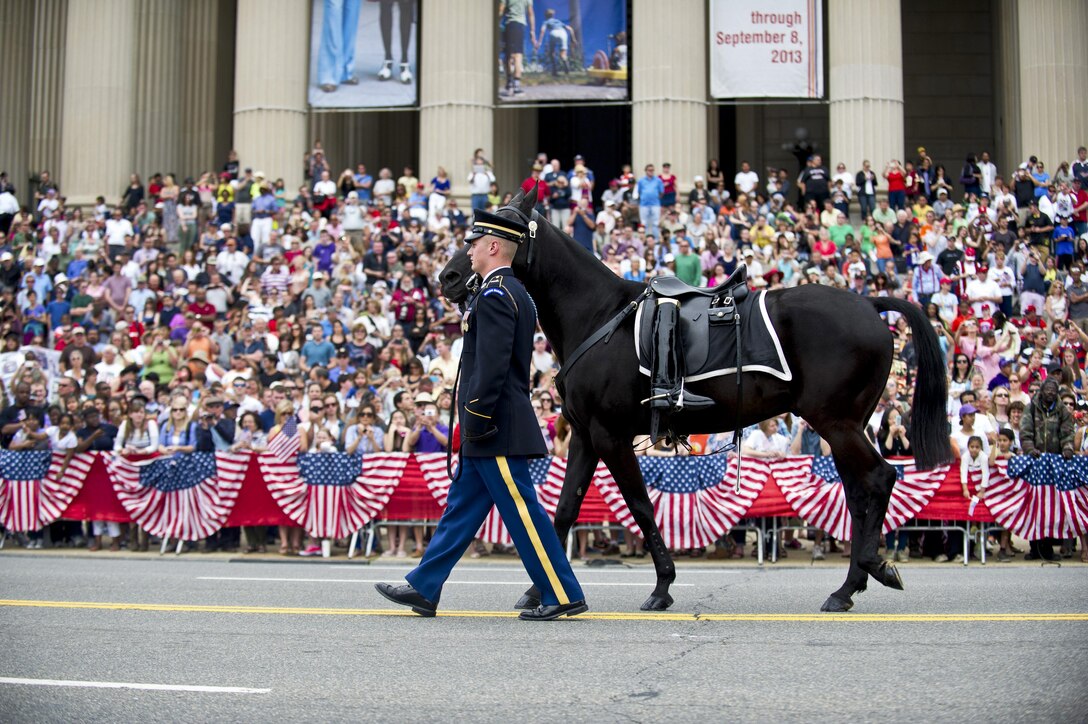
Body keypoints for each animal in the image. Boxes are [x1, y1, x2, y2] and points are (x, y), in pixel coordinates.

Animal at [437, 186, 948, 609]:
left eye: (491, 233)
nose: (449, 275)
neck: (598, 316)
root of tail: (870, 303)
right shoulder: (584, 435)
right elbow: (563, 509)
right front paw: (537, 589)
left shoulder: (610, 435)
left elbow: (640, 506)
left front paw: (662, 585)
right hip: (845, 426)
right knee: (860, 493)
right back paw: (854, 581)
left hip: (836, 424)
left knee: (879, 479)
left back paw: (863, 575)